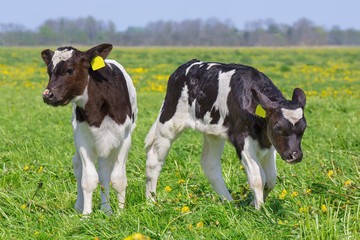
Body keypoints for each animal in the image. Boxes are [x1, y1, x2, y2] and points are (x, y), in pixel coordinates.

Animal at [41, 43, 137, 214]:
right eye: (49, 71)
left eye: (70, 70)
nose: (47, 95)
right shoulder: (83, 140)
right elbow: (88, 179)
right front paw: (86, 215)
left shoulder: (125, 140)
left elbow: (118, 178)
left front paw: (120, 214)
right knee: (80, 167)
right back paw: (80, 207)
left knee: (105, 172)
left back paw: (106, 210)